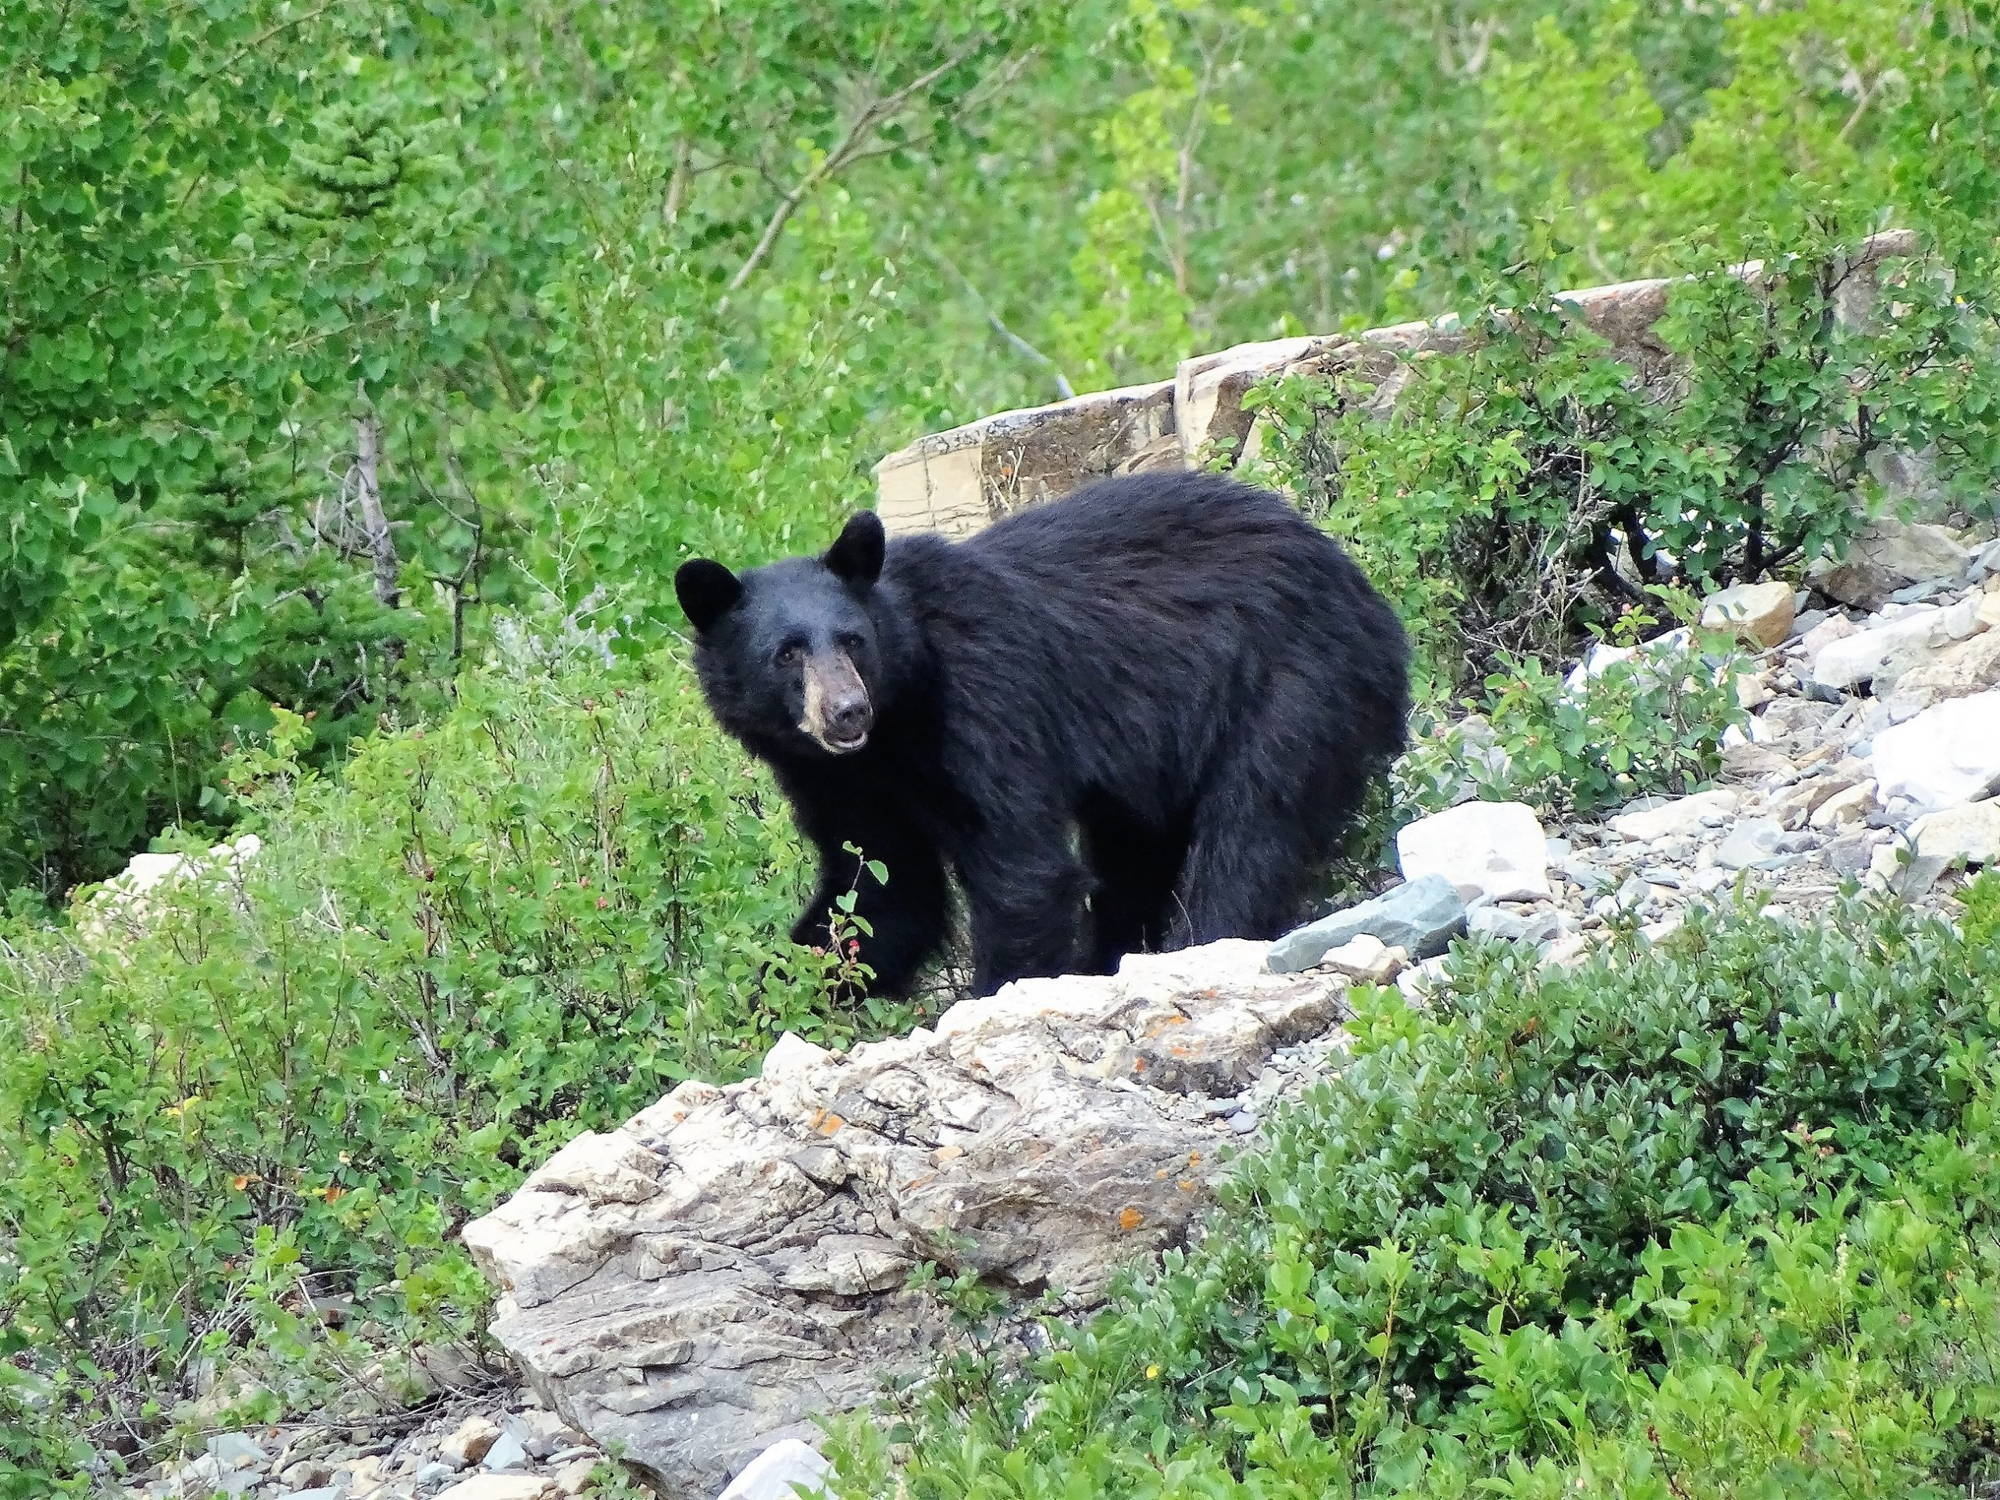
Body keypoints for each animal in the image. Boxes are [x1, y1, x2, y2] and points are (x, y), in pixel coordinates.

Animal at [680, 476, 1416, 1004]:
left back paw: (1197, 937)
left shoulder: (983, 698)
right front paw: (774, 1002)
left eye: (853, 640)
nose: (846, 713)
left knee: (1251, 830)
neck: (898, 721)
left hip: (1293, 683)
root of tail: (1368, 596)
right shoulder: (835, 780)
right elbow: (879, 891)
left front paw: (996, 993)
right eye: (785, 654)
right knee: (1136, 855)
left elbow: (1020, 869)